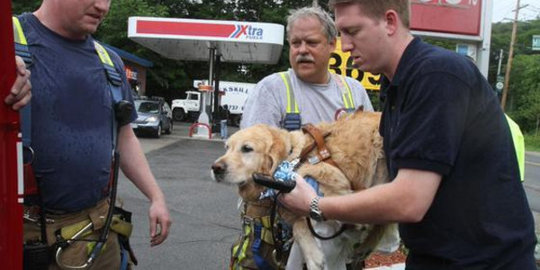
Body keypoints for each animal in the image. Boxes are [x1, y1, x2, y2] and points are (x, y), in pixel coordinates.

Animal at [212, 110, 396, 270]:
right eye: (227, 147)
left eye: (247, 148)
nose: (215, 168)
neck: (291, 158)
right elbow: (299, 224)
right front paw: (312, 253)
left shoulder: (331, 180)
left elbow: (320, 207)